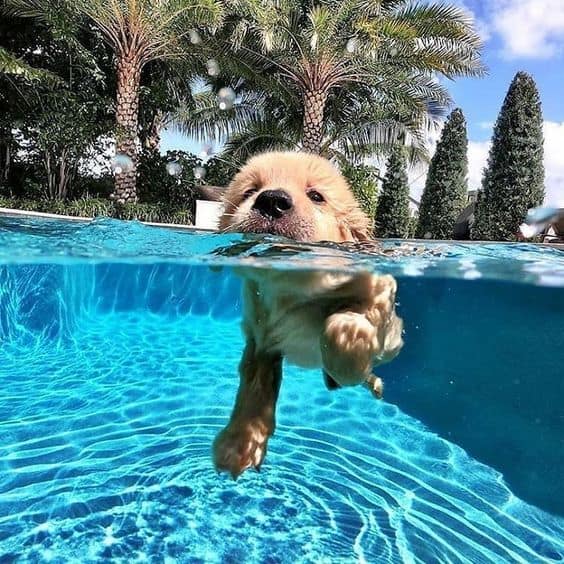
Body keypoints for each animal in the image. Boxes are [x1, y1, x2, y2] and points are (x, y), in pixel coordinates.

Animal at [214, 152, 404, 478]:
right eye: (250, 191)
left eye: (316, 196)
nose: (272, 200)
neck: (292, 288)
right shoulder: (260, 339)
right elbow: (254, 386)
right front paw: (240, 442)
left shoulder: (380, 291)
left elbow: (340, 327)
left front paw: (350, 347)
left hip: (393, 343)